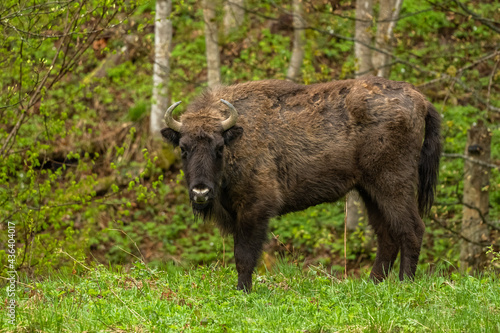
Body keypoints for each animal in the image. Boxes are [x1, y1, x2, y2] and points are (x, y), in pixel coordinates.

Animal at [161, 76, 442, 290]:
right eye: (183, 148)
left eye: (219, 147)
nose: (200, 191)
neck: (237, 136)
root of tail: (421, 99)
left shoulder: (254, 209)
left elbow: (244, 255)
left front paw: (243, 291)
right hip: (369, 191)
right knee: (387, 236)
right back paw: (372, 284)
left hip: (392, 185)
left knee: (411, 230)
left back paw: (405, 285)